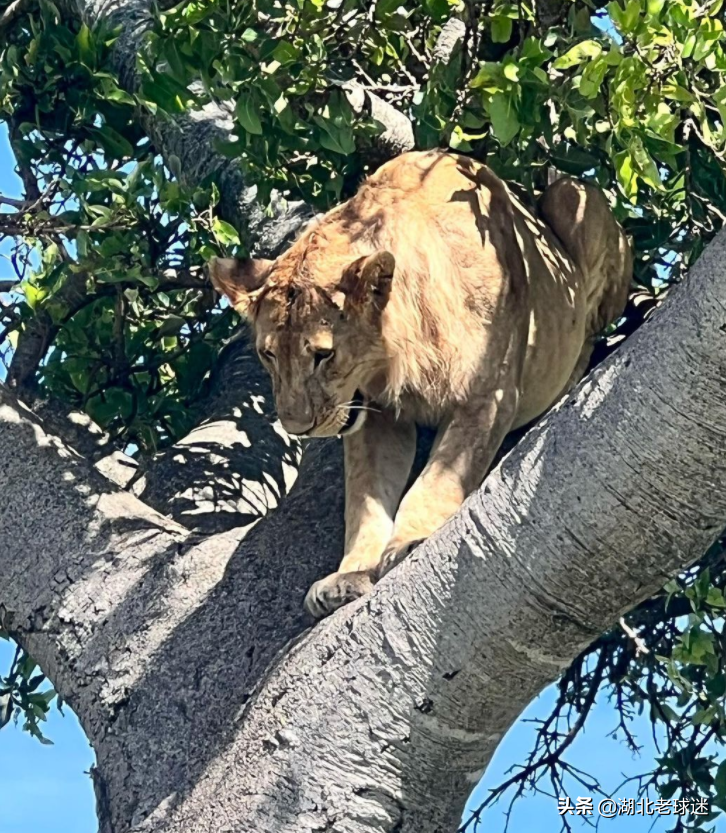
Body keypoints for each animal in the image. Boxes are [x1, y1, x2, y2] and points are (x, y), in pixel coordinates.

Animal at [209, 150, 632, 616]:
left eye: (323, 355)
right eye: (268, 354)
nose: (298, 427)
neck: (397, 356)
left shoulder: (487, 395)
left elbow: (436, 482)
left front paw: (409, 543)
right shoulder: (377, 418)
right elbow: (365, 500)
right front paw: (349, 576)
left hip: (573, 199)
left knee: (589, 329)